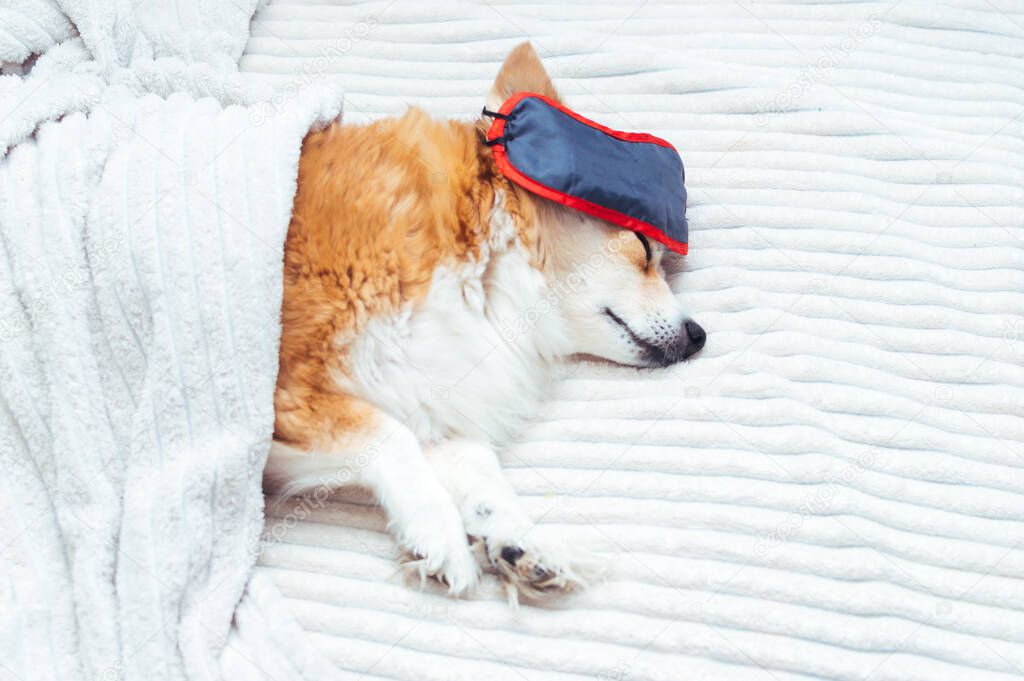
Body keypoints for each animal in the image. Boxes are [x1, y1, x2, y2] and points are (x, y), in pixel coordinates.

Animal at [264, 41, 704, 602]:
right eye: (645, 249)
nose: (698, 335)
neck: (484, 271)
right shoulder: (290, 386)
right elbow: (389, 436)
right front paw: (437, 531)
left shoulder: (426, 385)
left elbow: (477, 468)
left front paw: (520, 538)